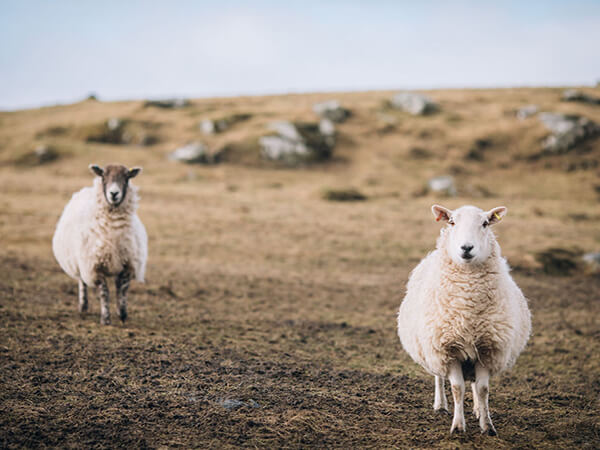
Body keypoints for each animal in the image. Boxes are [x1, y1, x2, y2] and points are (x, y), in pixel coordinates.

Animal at [53, 163, 149, 326]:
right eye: (103, 176)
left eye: (127, 177)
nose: (114, 193)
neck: (113, 229)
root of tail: (85, 190)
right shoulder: (95, 266)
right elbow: (104, 293)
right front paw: (106, 319)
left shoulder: (128, 264)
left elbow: (122, 290)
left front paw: (122, 315)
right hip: (80, 261)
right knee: (82, 282)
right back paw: (83, 306)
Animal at [398, 205, 528, 436]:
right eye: (452, 222)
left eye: (485, 223)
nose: (466, 247)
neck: (468, 307)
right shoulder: (448, 350)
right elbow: (457, 388)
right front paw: (458, 426)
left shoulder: (487, 349)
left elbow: (483, 389)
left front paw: (487, 426)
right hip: (433, 348)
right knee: (439, 378)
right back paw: (440, 405)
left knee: (475, 385)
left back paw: (476, 409)